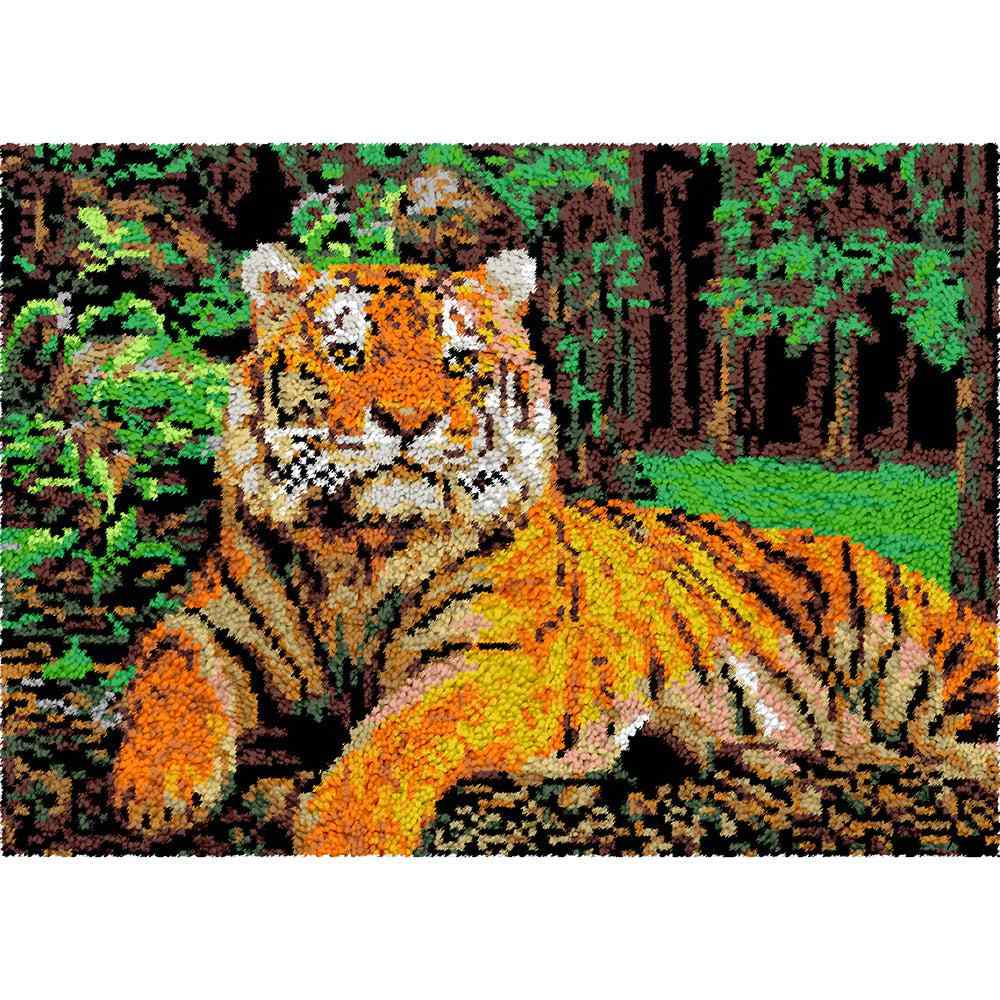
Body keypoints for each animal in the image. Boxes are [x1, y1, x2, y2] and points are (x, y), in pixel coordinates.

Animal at [109, 241, 999, 855]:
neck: (363, 545)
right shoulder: (206, 627)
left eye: (459, 361)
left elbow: (401, 733)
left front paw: (343, 831)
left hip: (940, 666)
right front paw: (159, 790)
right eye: (347, 353)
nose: (407, 422)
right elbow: (169, 683)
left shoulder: (495, 662)